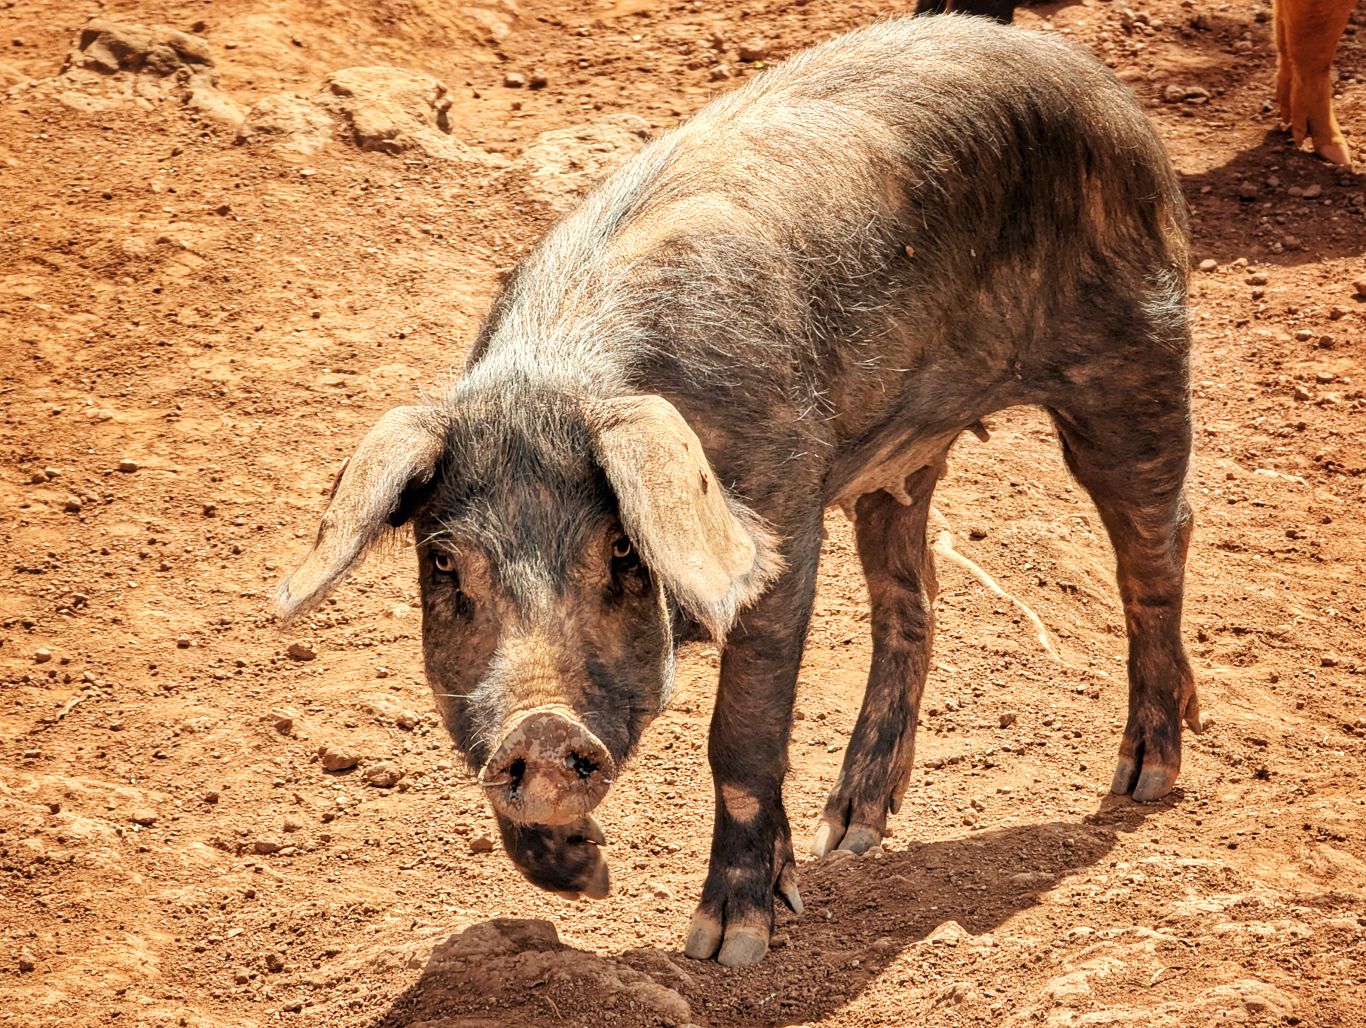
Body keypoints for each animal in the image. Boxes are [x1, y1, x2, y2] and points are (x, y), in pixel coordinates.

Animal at [274, 12, 1196, 966]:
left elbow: (743, 739)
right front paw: (593, 880)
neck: (558, 373)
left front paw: (729, 943)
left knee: (1156, 549)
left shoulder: (782, 522)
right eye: (445, 564)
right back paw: (850, 834)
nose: (543, 728)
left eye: (621, 551)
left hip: (1136, 355)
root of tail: (1099, 81)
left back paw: (1144, 778)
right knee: (912, 598)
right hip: (901, 458)